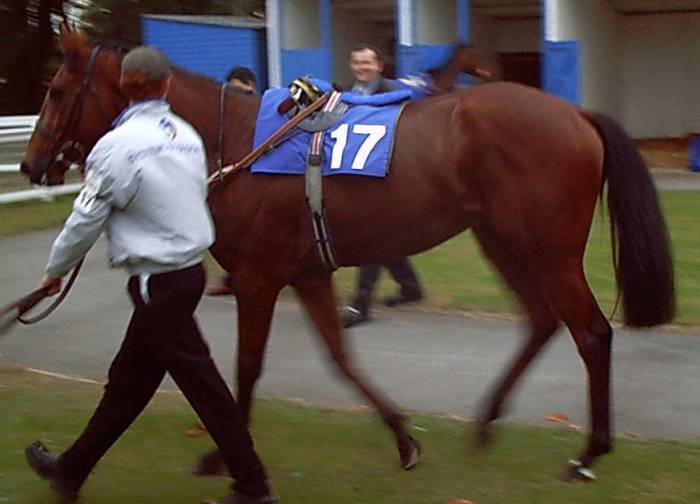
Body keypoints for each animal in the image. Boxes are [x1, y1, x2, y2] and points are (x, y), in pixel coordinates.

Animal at [21, 25, 674, 482]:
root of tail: (576, 115)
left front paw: (219, 457)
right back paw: (488, 421)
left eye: (56, 89)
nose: (30, 164)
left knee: (591, 332)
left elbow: (247, 367)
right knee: (541, 321)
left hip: (548, 250)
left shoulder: (258, 276)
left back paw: (588, 454)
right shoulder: (306, 272)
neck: (240, 143)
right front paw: (403, 438)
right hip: (502, 241)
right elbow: (340, 356)